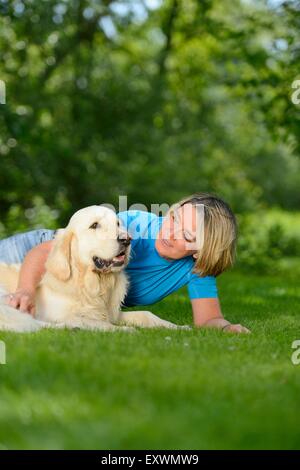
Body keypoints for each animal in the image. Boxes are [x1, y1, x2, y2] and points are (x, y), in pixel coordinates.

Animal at [0, 207, 182, 334]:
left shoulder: (113, 313)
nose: (127, 239)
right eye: (94, 225)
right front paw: (124, 330)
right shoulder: (62, 314)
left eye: (118, 223)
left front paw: (179, 327)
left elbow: (146, 314)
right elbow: (93, 322)